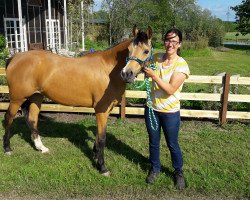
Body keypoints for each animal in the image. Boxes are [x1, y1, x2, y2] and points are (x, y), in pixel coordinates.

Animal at [2, 24, 153, 175]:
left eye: (146, 51)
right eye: (129, 50)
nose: (127, 73)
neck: (108, 71)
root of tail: (14, 57)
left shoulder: (106, 110)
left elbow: (98, 135)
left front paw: (95, 155)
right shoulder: (101, 110)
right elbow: (102, 137)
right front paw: (102, 167)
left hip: (36, 96)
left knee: (32, 119)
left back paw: (41, 147)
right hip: (17, 99)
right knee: (8, 118)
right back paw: (7, 148)